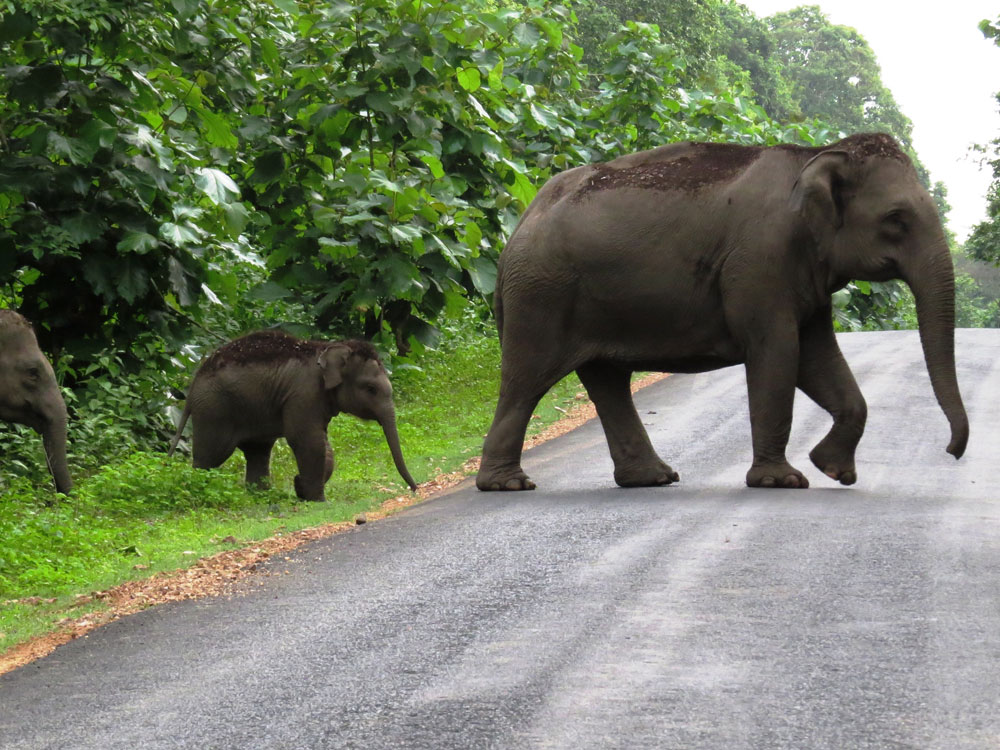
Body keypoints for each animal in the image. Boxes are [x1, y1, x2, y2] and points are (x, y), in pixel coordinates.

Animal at [169, 332, 418, 502]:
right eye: (371, 389)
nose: (415, 489)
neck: (326, 348)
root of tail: (194, 381)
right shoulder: (304, 394)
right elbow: (307, 439)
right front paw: (318, 500)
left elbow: (322, 443)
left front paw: (302, 489)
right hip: (214, 411)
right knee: (209, 457)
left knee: (258, 452)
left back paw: (262, 496)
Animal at [476, 134, 968, 494]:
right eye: (896, 219)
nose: (951, 452)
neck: (817, 153)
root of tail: (521, 220)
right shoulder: (759, 262)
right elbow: (777, 352)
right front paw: (781, 481)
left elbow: (818, 358)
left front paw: (833, 471)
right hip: (541, 294)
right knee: (526, 380)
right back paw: (508, 485)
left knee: (606, 381)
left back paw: (653, 479)